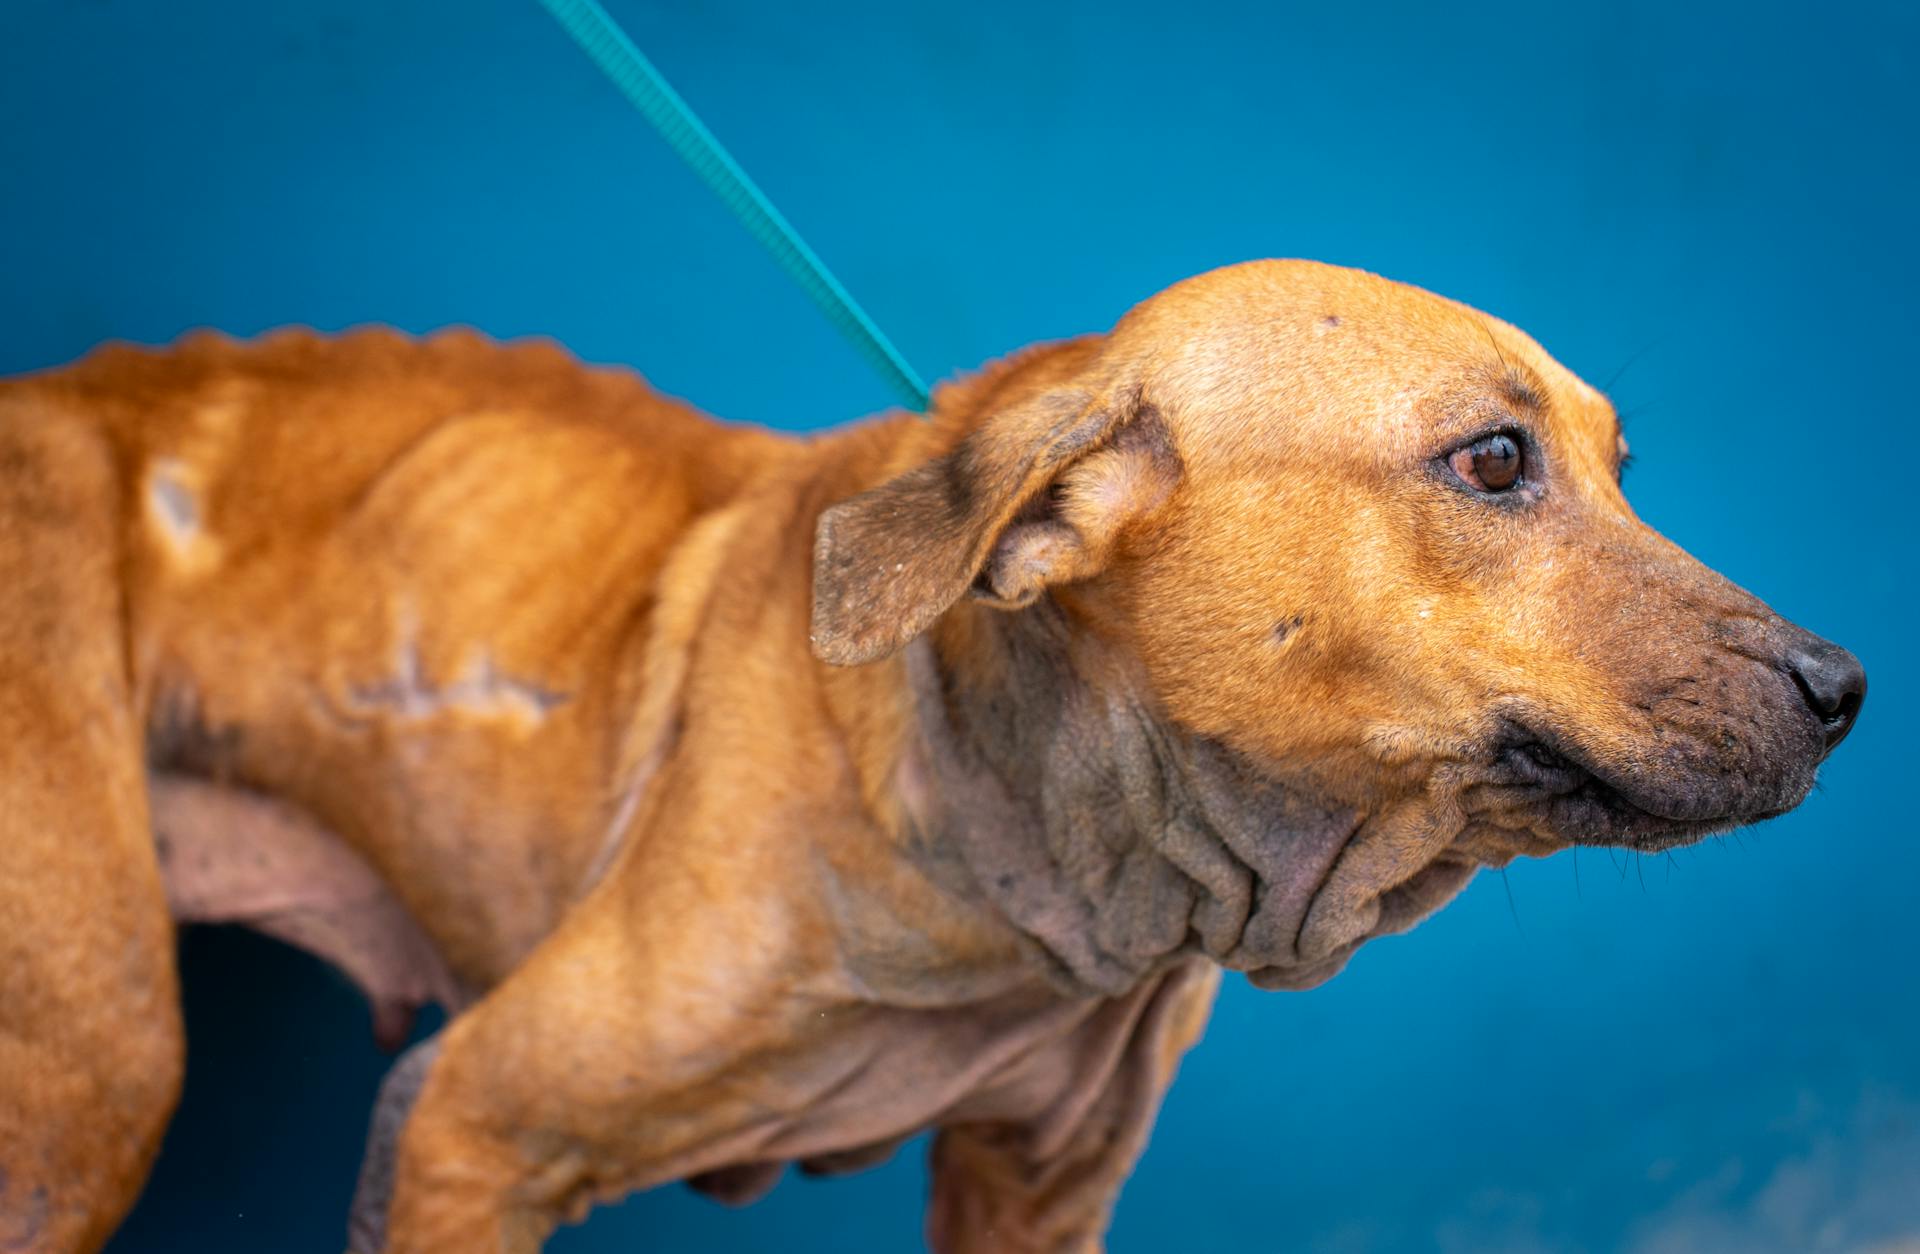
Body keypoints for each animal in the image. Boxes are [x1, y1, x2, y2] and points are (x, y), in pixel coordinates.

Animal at [0, 259, 1858, 1244]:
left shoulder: (1036, 1187)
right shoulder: (471, 1126)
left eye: (1623, 461)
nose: (1843, 683)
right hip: (91, 1075)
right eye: (1491, 461)